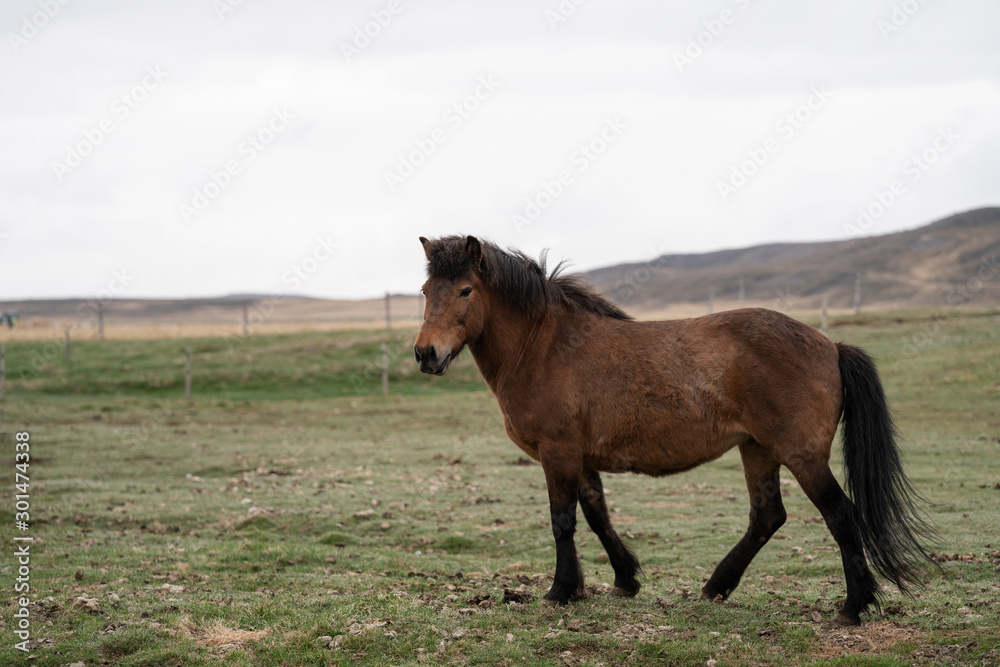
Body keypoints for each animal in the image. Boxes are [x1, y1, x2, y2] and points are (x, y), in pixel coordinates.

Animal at [410, 235, 932, 628]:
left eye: (465, 291)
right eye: (425, 290)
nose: (425, 354)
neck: (545, 346)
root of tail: (830, 345)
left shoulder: (558, 453)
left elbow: (563, 521)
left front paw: (560, 590)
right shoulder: (580, 458)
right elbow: (597, 516)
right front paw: (623, 581)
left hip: (801, 455)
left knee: (840, 515)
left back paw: (853, 606)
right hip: (758, 449)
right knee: (767, 517)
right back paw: (717, 586)